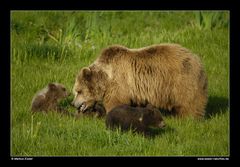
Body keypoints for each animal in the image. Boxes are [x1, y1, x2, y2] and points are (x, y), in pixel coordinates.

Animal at [71, 43, 208, 118]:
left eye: (78, 91)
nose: (73, 103)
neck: (106, 77)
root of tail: (197, 59)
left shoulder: (120, 82)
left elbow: (116, 102)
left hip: (182, 80)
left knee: (189, 101)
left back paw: (188, 118)